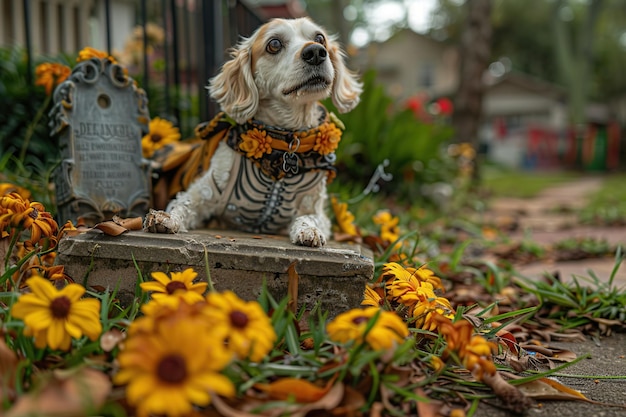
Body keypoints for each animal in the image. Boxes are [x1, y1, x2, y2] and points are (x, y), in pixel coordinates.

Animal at [144, 18, 360, 247]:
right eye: (274, 44)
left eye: (320, 38)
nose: (316, 52)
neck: (283, 146)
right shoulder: (202, 193)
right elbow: (182, 205)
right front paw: (165, 218)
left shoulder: (316, 208)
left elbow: (310, 217)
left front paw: (308, 230)